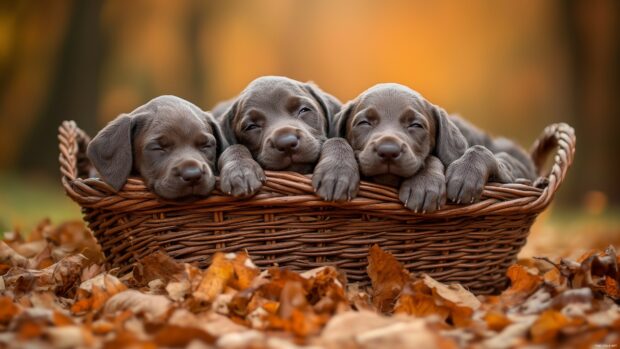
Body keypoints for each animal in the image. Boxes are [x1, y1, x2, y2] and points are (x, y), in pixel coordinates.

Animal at [213, 76, 358, 201]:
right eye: (251, 126)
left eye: (304, 110)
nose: (286, 142)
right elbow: (233, 147)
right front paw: (240, 171)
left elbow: (336, 140)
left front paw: (337, 172)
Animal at [332, 83, 536, 211]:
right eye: (364, 123)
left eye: (415, 125)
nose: (388, 150)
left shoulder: (514, 172)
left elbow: (480, 150)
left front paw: (462, 176)